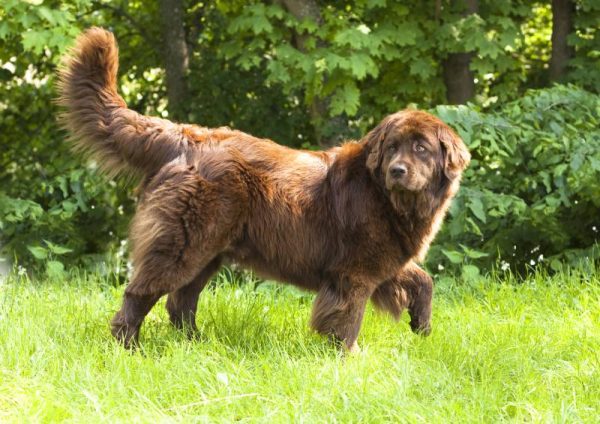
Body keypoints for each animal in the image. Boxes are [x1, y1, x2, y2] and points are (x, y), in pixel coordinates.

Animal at [57, 27, 468, 352]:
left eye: (421, 148)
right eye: (393, 147)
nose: (398, 171)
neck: (386, 196)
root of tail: (185, 136)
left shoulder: (385, 259)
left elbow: (423, 279)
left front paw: (422, 327)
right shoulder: (353, 271)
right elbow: (348, 316)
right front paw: (349, 357)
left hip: (209, 250)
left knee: (181, 301)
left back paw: (197, 345)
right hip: (184, 243)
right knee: (142, 292)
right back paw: (129, 346)